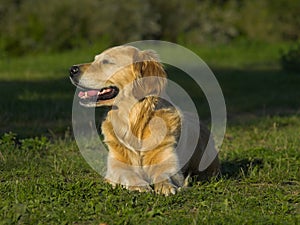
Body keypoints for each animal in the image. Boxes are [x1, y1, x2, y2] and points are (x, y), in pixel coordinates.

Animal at [70, 45, 220, 195]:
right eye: (95, 59)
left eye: (106, 61)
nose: (72, 69)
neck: (133, 121)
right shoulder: (115, 166)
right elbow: (127, 174)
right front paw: (139, 185)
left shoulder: (170, 163)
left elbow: (164, 173)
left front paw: (166, 186)